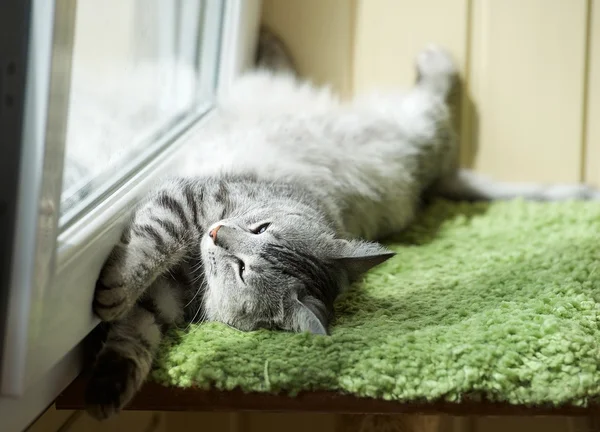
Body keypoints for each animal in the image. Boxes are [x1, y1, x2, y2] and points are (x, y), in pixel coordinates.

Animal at [83, 29, 600, 418]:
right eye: (261, 228)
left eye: (243, 270)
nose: (215, 234)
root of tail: (432, 181)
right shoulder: (196, 199)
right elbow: (150, 253)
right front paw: (114, 325)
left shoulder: (172, 280)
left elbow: (138, 327)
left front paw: (109, 358)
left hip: (413, 131)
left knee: (437, 106)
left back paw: (432, 60)